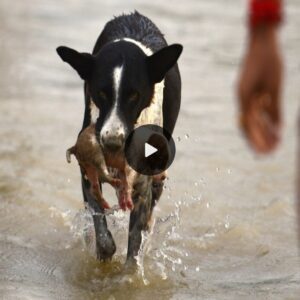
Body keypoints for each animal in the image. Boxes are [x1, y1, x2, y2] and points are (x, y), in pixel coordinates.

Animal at [56, 11, 183, 260]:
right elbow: (100, 223)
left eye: (134, 95)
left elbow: (135, 241)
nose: (112, 143)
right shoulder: (88, 171)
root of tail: (133, 15)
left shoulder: (143, 185)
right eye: (101, 93)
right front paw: (104, 252)